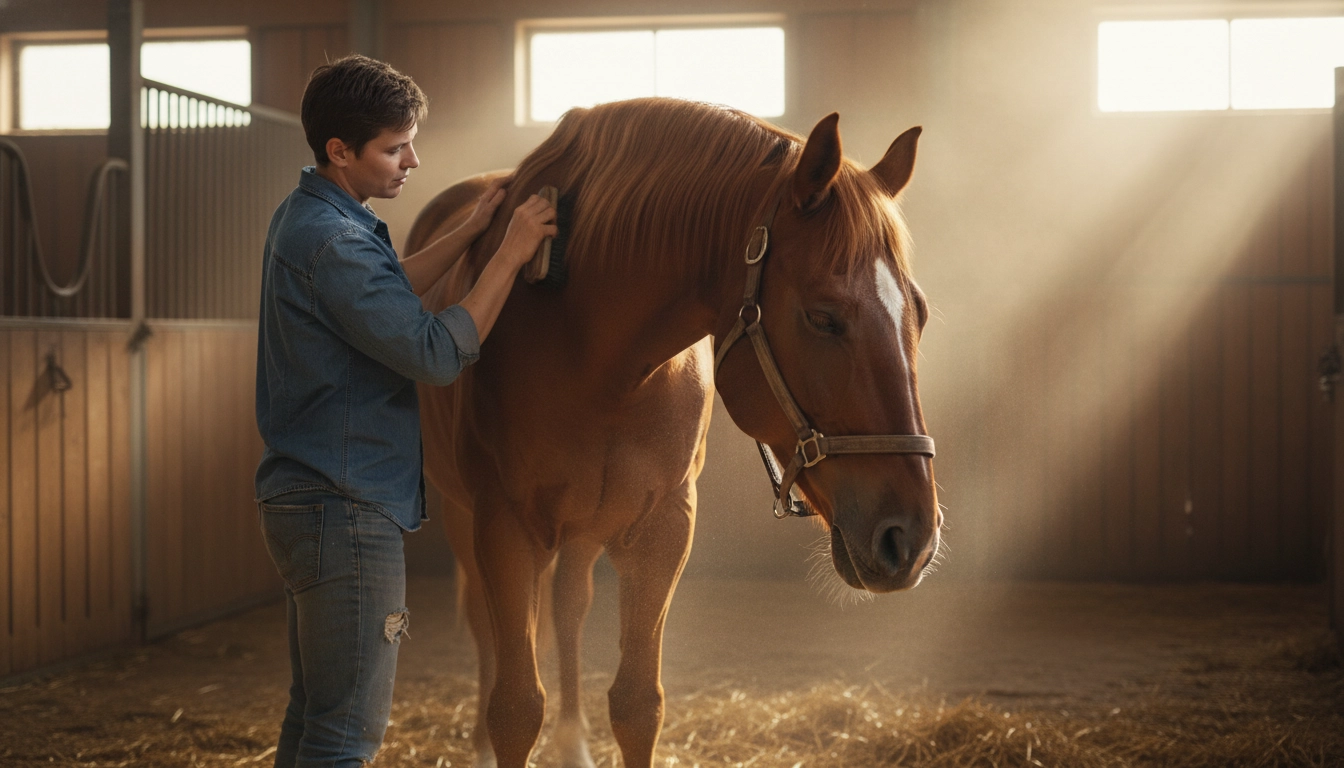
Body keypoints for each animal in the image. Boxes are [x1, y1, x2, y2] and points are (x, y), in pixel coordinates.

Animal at [406, 97, 939, 768]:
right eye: (822, 317)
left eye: (919, 312)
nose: (911, 538)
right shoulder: (503, 524)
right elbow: (515, 709)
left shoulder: (663, 527)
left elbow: (637, 706)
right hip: (464, 514)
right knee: (485, 619)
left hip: (583, 529)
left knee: (569, 608)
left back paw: (573, 742)